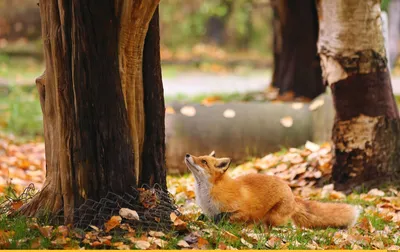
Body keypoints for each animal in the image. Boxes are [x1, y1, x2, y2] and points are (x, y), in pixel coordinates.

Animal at [186, 152, 360, 228]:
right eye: (199, 157)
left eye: (203, 161)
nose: (187, 155)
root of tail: (292, 194)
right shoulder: (209, 212)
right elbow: (208, 218)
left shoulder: (242, 211)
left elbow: (228, 218)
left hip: (273, 217)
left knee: (282, 225)